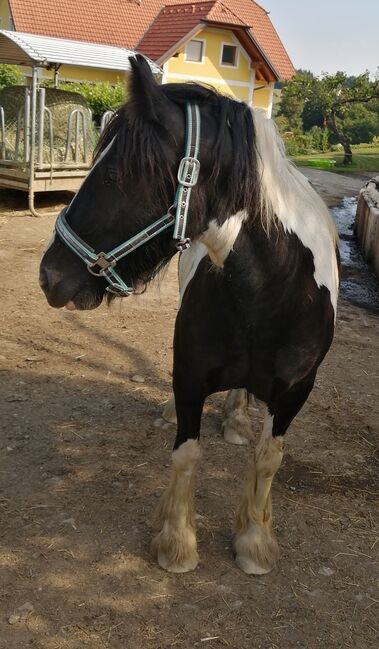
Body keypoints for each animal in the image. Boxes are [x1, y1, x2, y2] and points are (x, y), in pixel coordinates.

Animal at [40, 54, 340, 572]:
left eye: (116, 175)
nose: (49, 275)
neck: (273, 294)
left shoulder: (296, 392)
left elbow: (268, 458)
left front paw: (254, 540)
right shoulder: (190, 376)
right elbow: (186, 454)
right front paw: (177, 541)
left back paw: (237, 421)